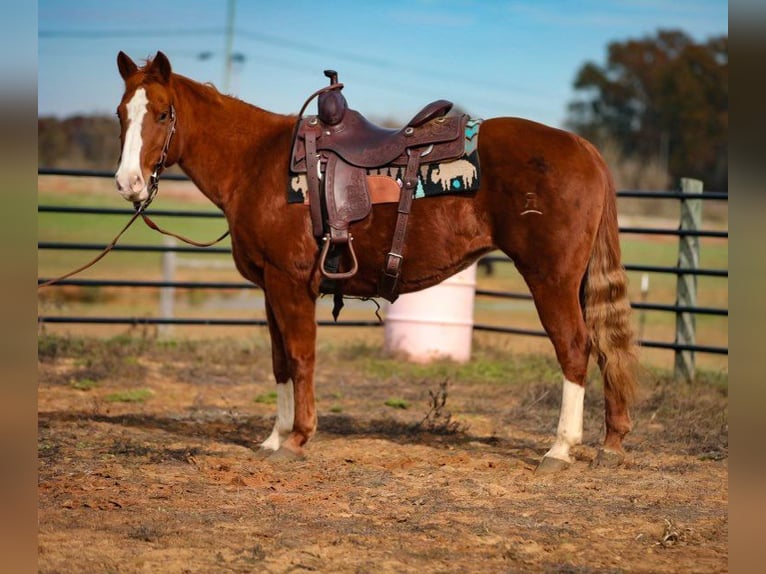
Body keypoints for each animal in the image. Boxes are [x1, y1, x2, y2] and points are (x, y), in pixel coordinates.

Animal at [114, 51, 638, 474]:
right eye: (122, 112)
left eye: (162, 113)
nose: (127, 183)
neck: (257, 164)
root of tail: (584, 148)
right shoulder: (269, 287)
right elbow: (279, 360)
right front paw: (274, 437)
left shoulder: (291, 284)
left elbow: (300, 356)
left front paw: (298, 438)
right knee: (604, 347)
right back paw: (611, 444)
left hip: (550, 279)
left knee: (575, 347)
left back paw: (560, 449)